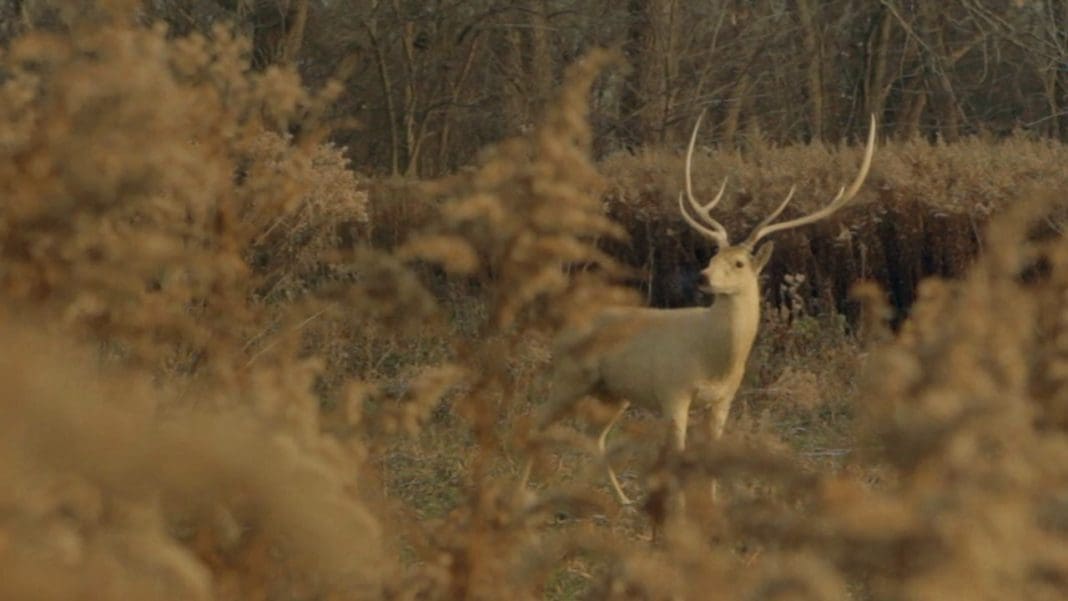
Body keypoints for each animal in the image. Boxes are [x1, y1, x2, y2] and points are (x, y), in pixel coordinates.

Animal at [519, 112, 876, 506]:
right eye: (711, 256)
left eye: (738, 263)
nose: (703, 277)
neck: (714, 358)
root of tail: (564, 326)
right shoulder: (673, 391)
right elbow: (677, 454)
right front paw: (676, 508)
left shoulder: (724, 400)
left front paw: (711, 504)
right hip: (570, 375)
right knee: (536, 422)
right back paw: (520, 491)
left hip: (612, 392)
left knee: (593, 435)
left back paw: (620, 500)